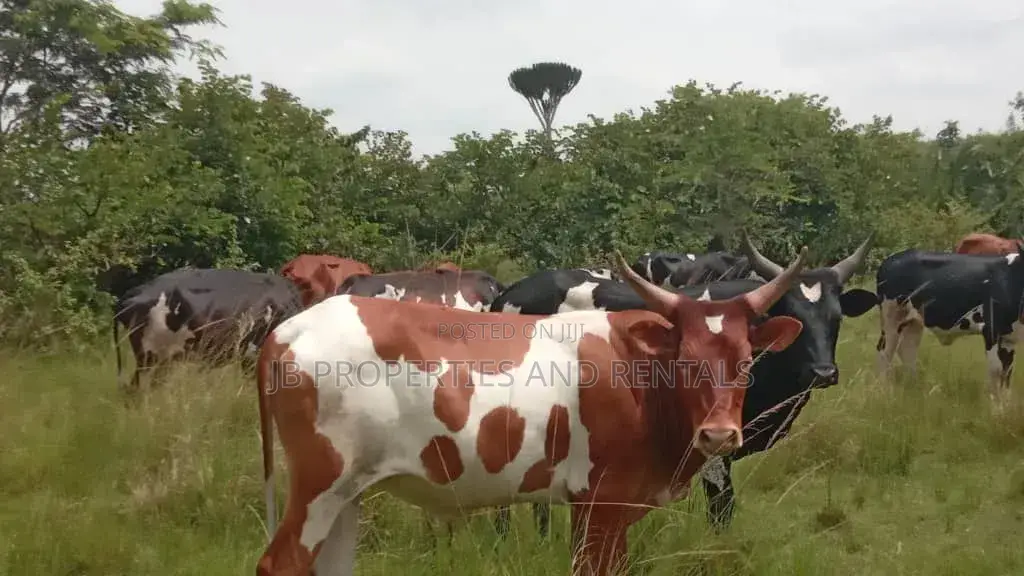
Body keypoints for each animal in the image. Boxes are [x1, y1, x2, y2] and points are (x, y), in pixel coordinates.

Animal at [875, 244, 1024, 406]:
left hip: (913, 321)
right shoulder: (991, 329)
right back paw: (884, 392)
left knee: (907, 350)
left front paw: (1005, 405)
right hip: (891, 317)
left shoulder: (1010, 337)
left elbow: (1007, 371)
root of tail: (890, 259)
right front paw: (995, 407)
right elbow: (996, 370)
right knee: (884, 351)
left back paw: (913, 388)